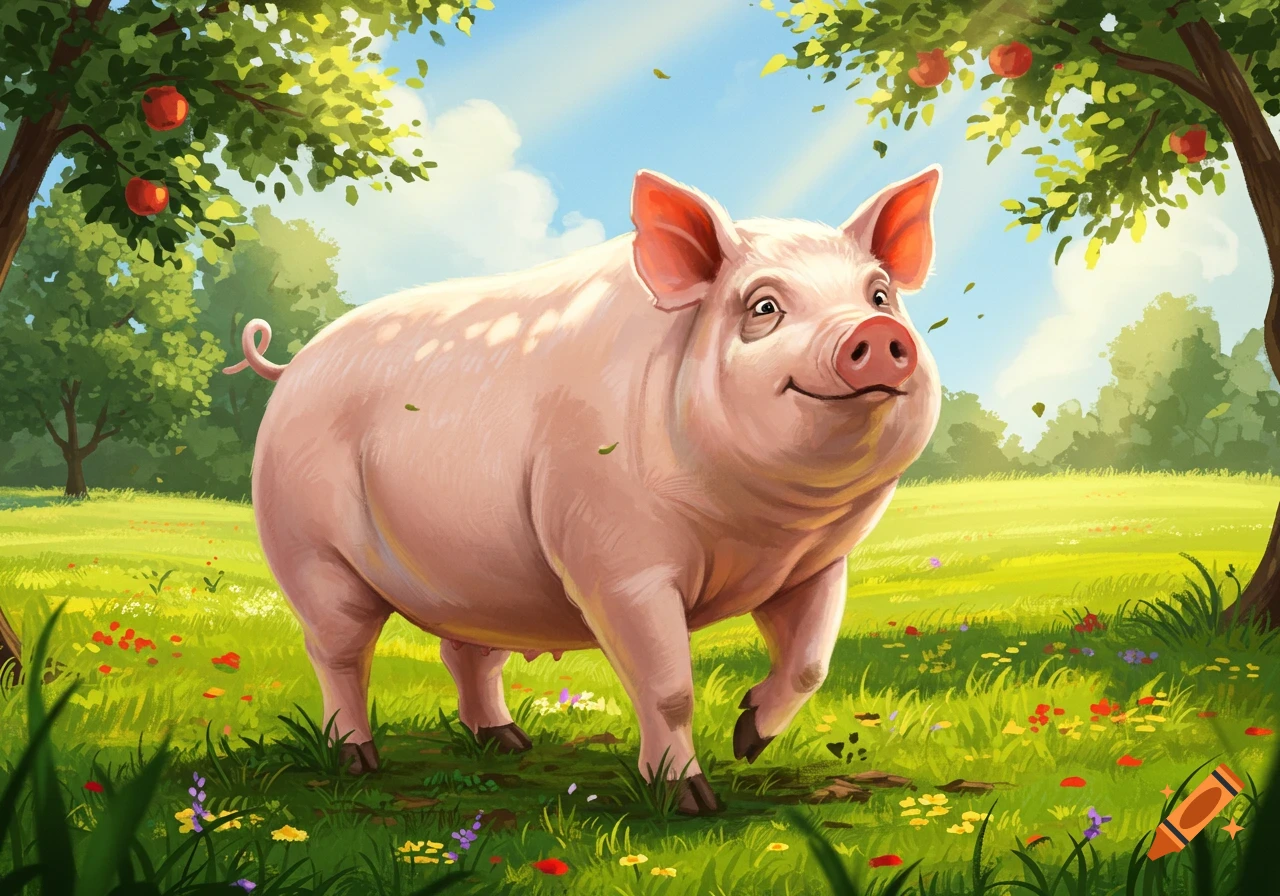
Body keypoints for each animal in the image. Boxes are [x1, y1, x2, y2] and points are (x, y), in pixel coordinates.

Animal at [224, 165, 943, 815]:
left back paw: (508, 744)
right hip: (309, 545)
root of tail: (291, 364)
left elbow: (809, 664)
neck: (763, 530)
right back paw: (357, 761)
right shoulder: (617, 562)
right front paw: (692, 802)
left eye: (880, 295)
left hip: (476, 573)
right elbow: (668, 687)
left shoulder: (818, 564)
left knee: (466, 653)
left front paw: (748, 741)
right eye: (764, 306)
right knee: (338, 650)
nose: (875, 332)